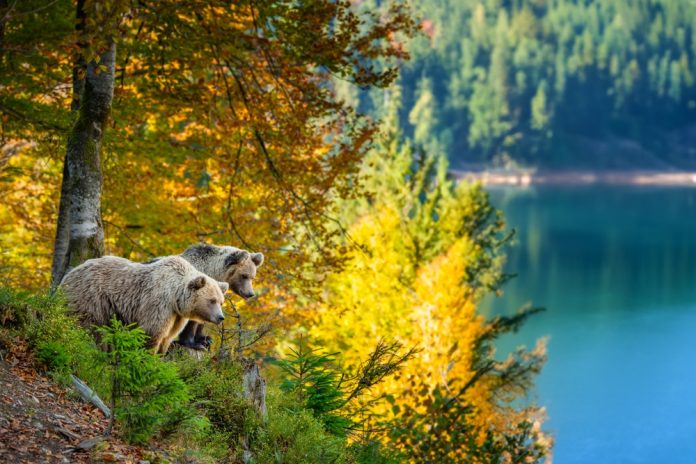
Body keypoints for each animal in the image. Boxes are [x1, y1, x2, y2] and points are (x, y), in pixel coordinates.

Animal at [60, 255, 229, 354]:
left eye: (221, 301)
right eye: (212, 300)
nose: (221, 317)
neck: (175, 297)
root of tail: (69, 273)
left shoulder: (176, 316)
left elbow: (167, 337)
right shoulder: (158, 303)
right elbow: (152, 333)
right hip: (91, 298)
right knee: (89, 327)